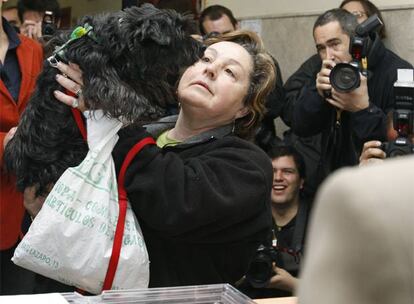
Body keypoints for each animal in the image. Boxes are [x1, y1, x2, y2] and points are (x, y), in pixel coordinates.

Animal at [3, 4, 204, 196]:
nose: (202, 48)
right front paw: (146, 109)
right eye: (180, 33)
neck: (114, 39)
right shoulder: (96, 72)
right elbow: (118, 90)